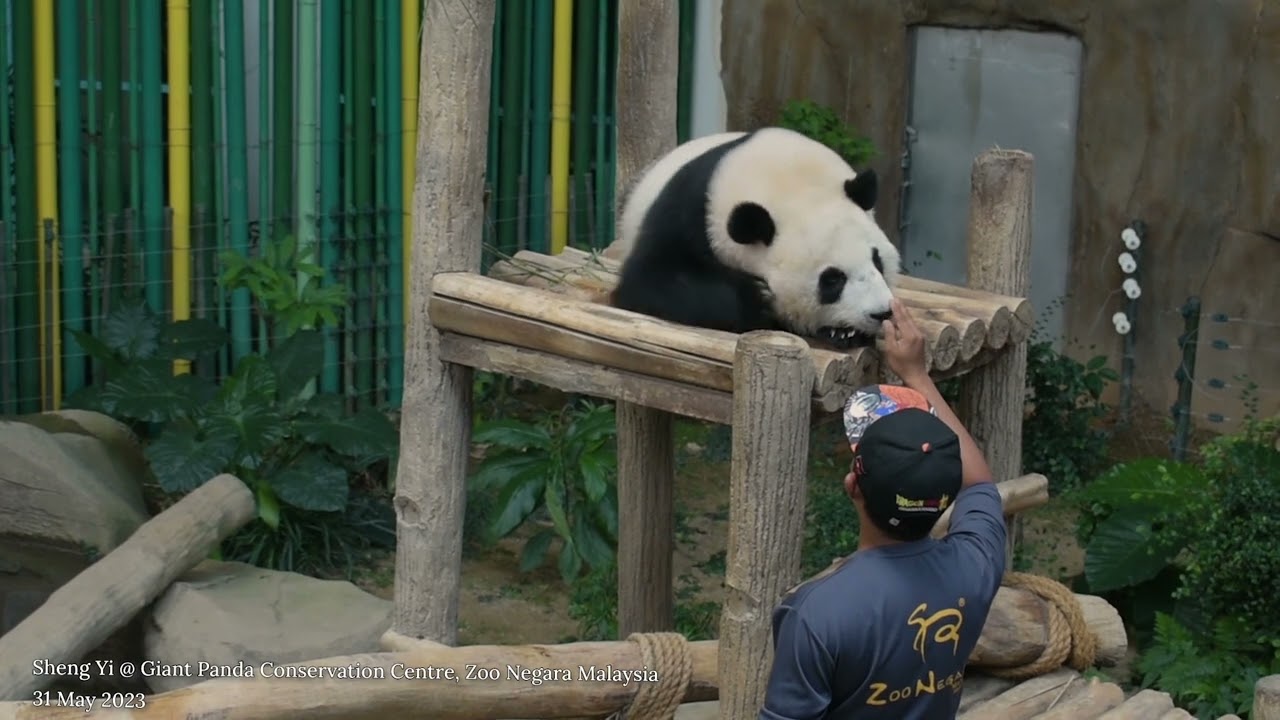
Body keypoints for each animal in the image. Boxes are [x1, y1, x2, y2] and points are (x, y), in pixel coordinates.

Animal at [607, 126, 902, 350]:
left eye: (877, 260)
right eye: (832, 279)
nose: (881, 313)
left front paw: (844, 331)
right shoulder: (687, 210)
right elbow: (651, 278)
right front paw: (758, 299)